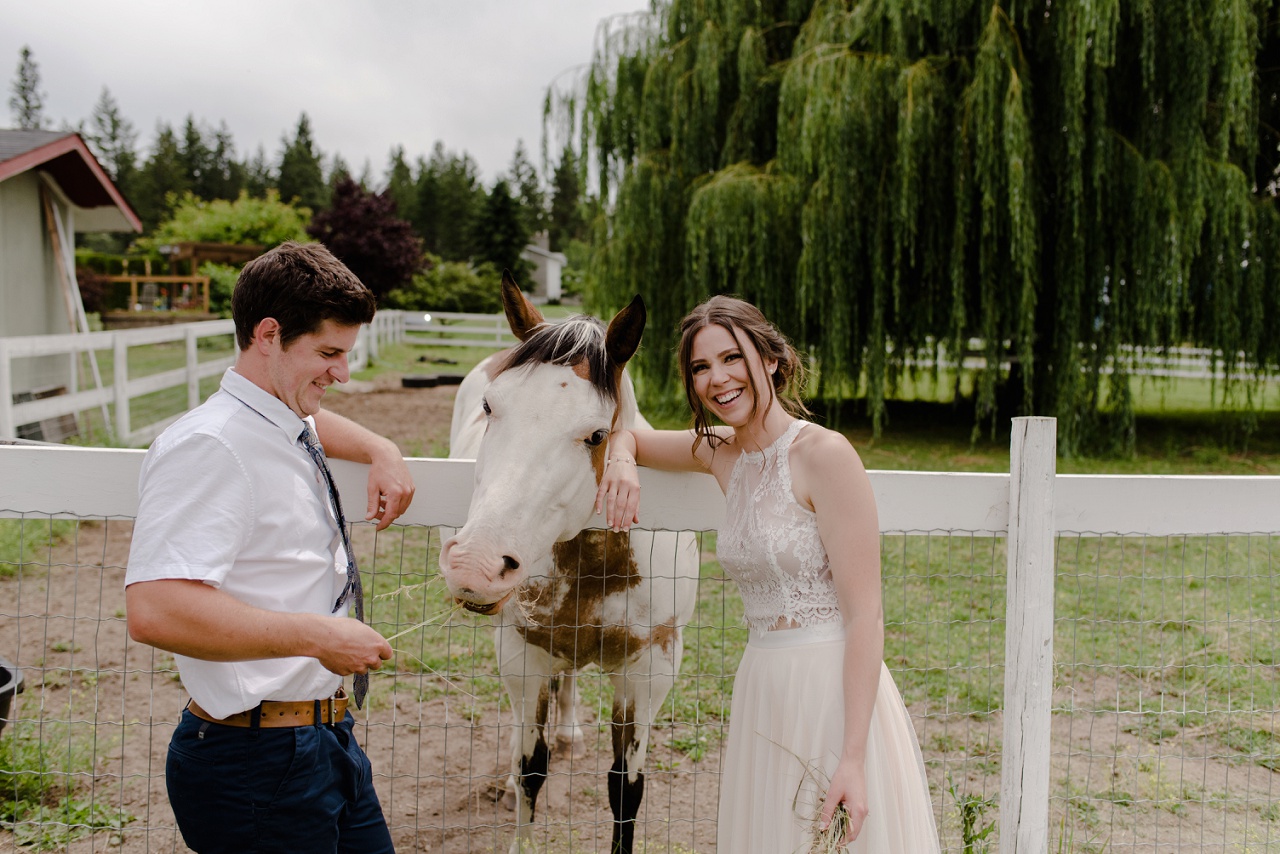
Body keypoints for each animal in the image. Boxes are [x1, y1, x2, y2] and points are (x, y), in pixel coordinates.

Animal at [440, 273, 701, 854]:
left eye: (597, 435)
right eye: (490, 408)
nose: (475, 565)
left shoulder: (650, 670)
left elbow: (626, 788)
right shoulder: (523, 653)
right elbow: (530, 769)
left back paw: (570, 734)